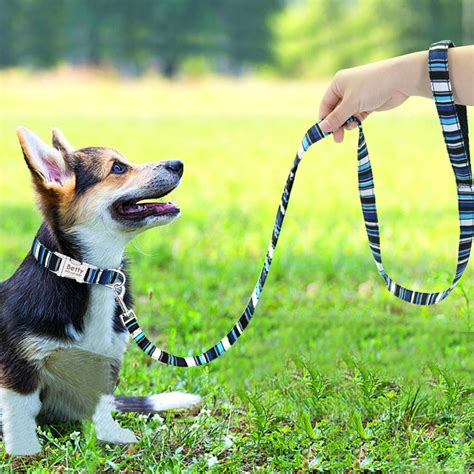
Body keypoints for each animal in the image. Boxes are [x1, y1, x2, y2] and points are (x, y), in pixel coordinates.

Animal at [0, 127, 200, 456]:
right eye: (117, 168)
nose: (179, 164)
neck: (93, 274)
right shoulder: (19, 367)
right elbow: (20, 414)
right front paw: (25, 451)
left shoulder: (107, 361)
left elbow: (103, 405)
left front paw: (110, 436)